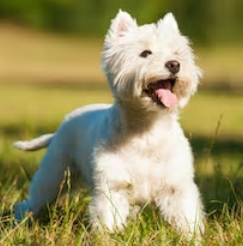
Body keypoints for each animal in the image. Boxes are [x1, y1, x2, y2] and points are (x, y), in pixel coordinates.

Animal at [13, 10, 205, 240]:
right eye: (145, 53)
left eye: (177, 52)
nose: (174, 64)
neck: (147, 131)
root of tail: (61, 127)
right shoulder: (113, 187)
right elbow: (109, 220)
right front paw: (109, 238)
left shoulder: (176, 188)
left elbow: (186, 218)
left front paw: (192, 239)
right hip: (55, 174)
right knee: (33, 201)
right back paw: (20, 221)